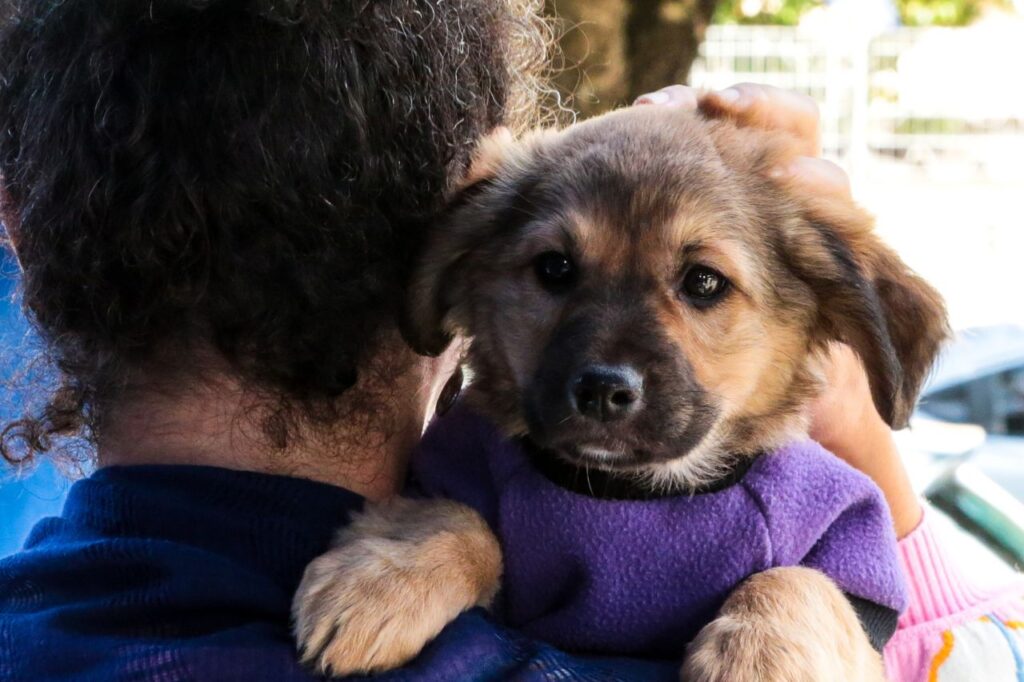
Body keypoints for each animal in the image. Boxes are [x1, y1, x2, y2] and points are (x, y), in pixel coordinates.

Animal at [288, 103, 942, 675]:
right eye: (554, 268)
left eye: (704, 282)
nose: (603, 390)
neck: (628, 495)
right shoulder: (454, 472)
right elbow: (458, 520)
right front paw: (382, 584)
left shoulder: (848, 548)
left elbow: (803, 579)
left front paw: (761, 657)